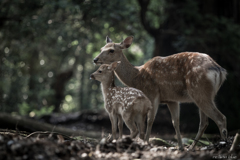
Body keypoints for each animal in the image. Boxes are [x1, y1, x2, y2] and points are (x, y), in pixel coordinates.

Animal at [93, 35, 228, 150]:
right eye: (101, 48)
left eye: (111, 50)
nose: (95, 59)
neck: (137, 77)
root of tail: (219, 70)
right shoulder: (171, 99)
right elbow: (175, 122)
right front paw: (180, 147)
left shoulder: (152, 93)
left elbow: (150, 120)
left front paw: (146, 143)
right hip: (204, 94)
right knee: (204, 123)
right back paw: (192, 147)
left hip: (200, 90)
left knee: (220, 118)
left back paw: (224, 147)